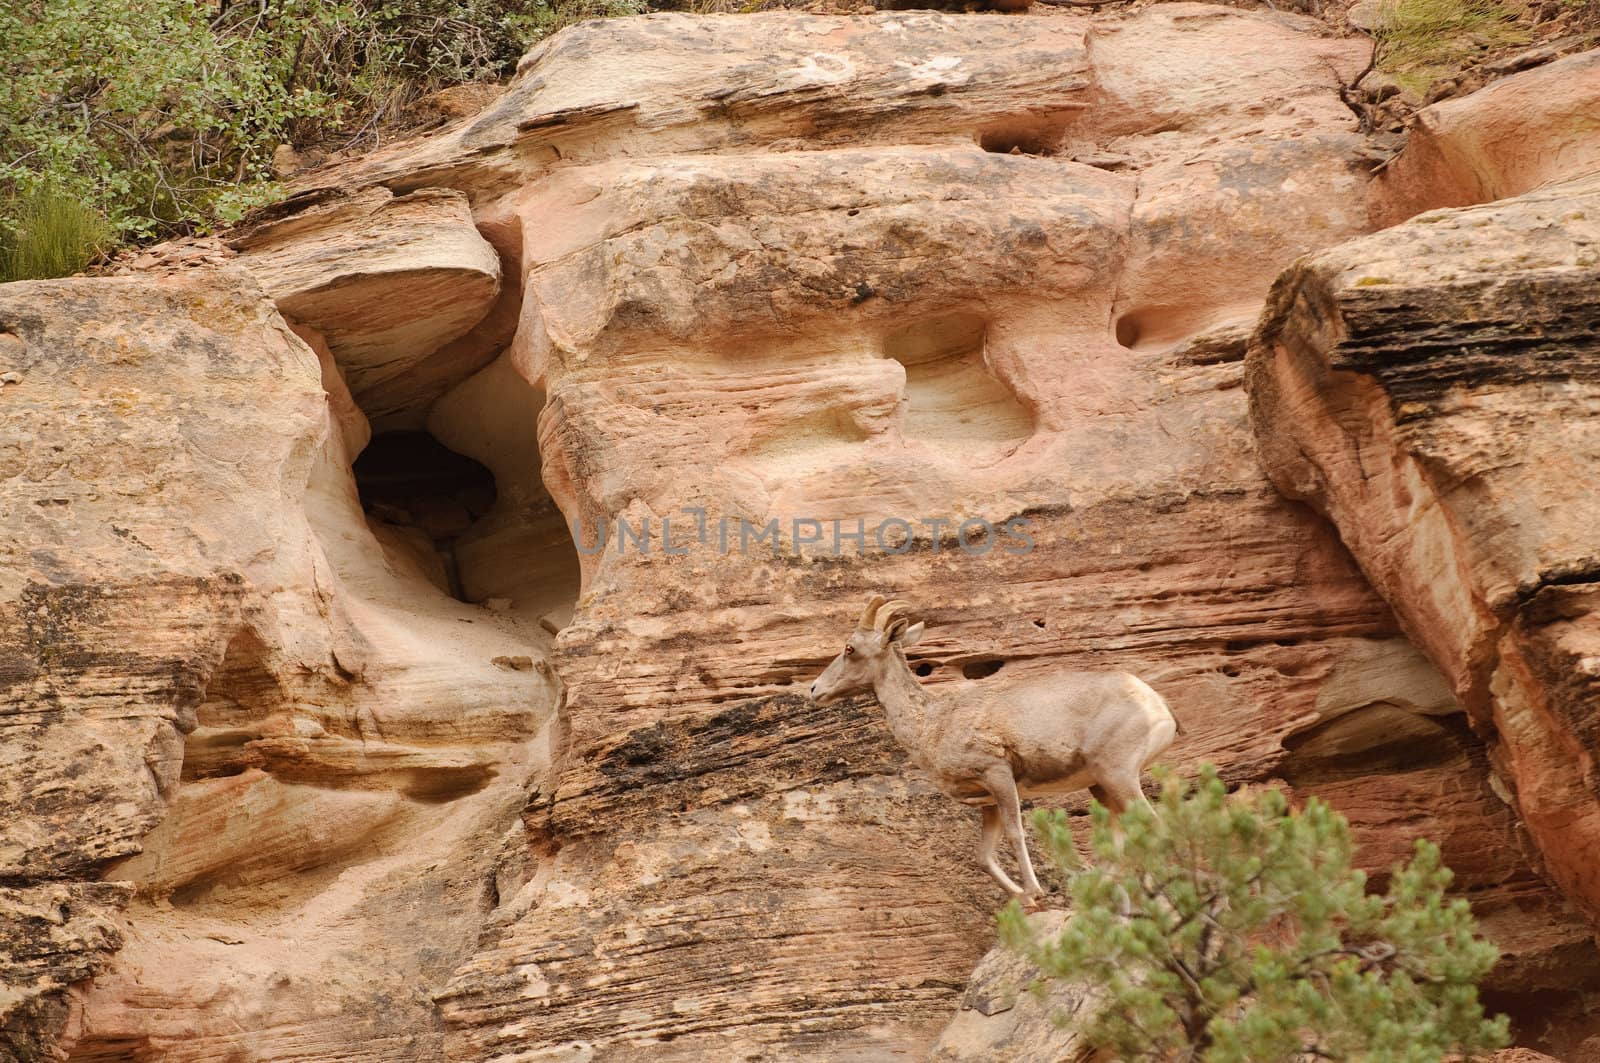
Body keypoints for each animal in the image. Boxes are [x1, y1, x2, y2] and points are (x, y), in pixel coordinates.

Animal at [812, 598, 1177, 896]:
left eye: (850, 649)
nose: (815, 689)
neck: (931, 723)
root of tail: (1157, 705)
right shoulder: (986, 800)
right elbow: (984, 857)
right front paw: (1023, 898)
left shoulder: (998, 774)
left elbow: (1016, 833)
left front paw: (1034, 892)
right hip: (1101, 787)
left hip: (1118, 775)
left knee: (1157, 826)